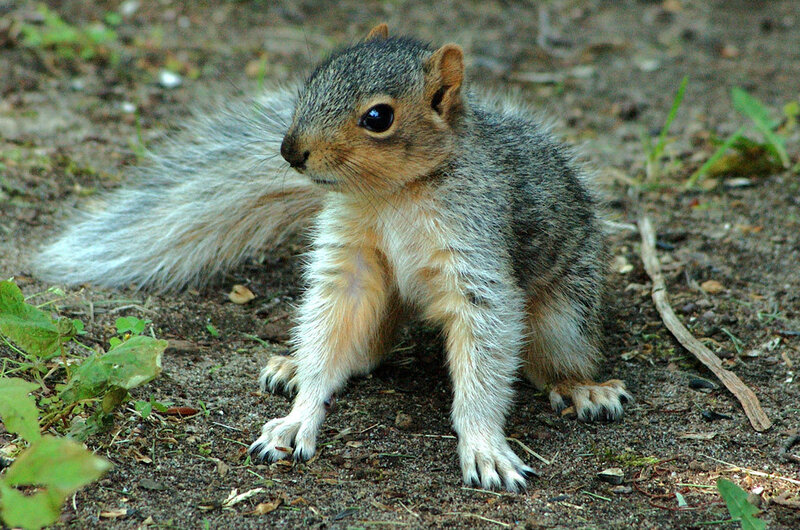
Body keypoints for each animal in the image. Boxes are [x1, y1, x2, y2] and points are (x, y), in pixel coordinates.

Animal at [37, 24, 632, 492]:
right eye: (313, 81)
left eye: (379, 116)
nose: (289, 151)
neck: (392, 195)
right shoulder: (350, 259)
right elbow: (331, 325)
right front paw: (296, 419)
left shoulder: (475, 252)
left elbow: (484, 355)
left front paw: (485, 447)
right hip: (382, 306)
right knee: (361, 350)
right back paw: (293, 365)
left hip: (564, 314)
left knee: (554, 357)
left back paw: (584, 388)